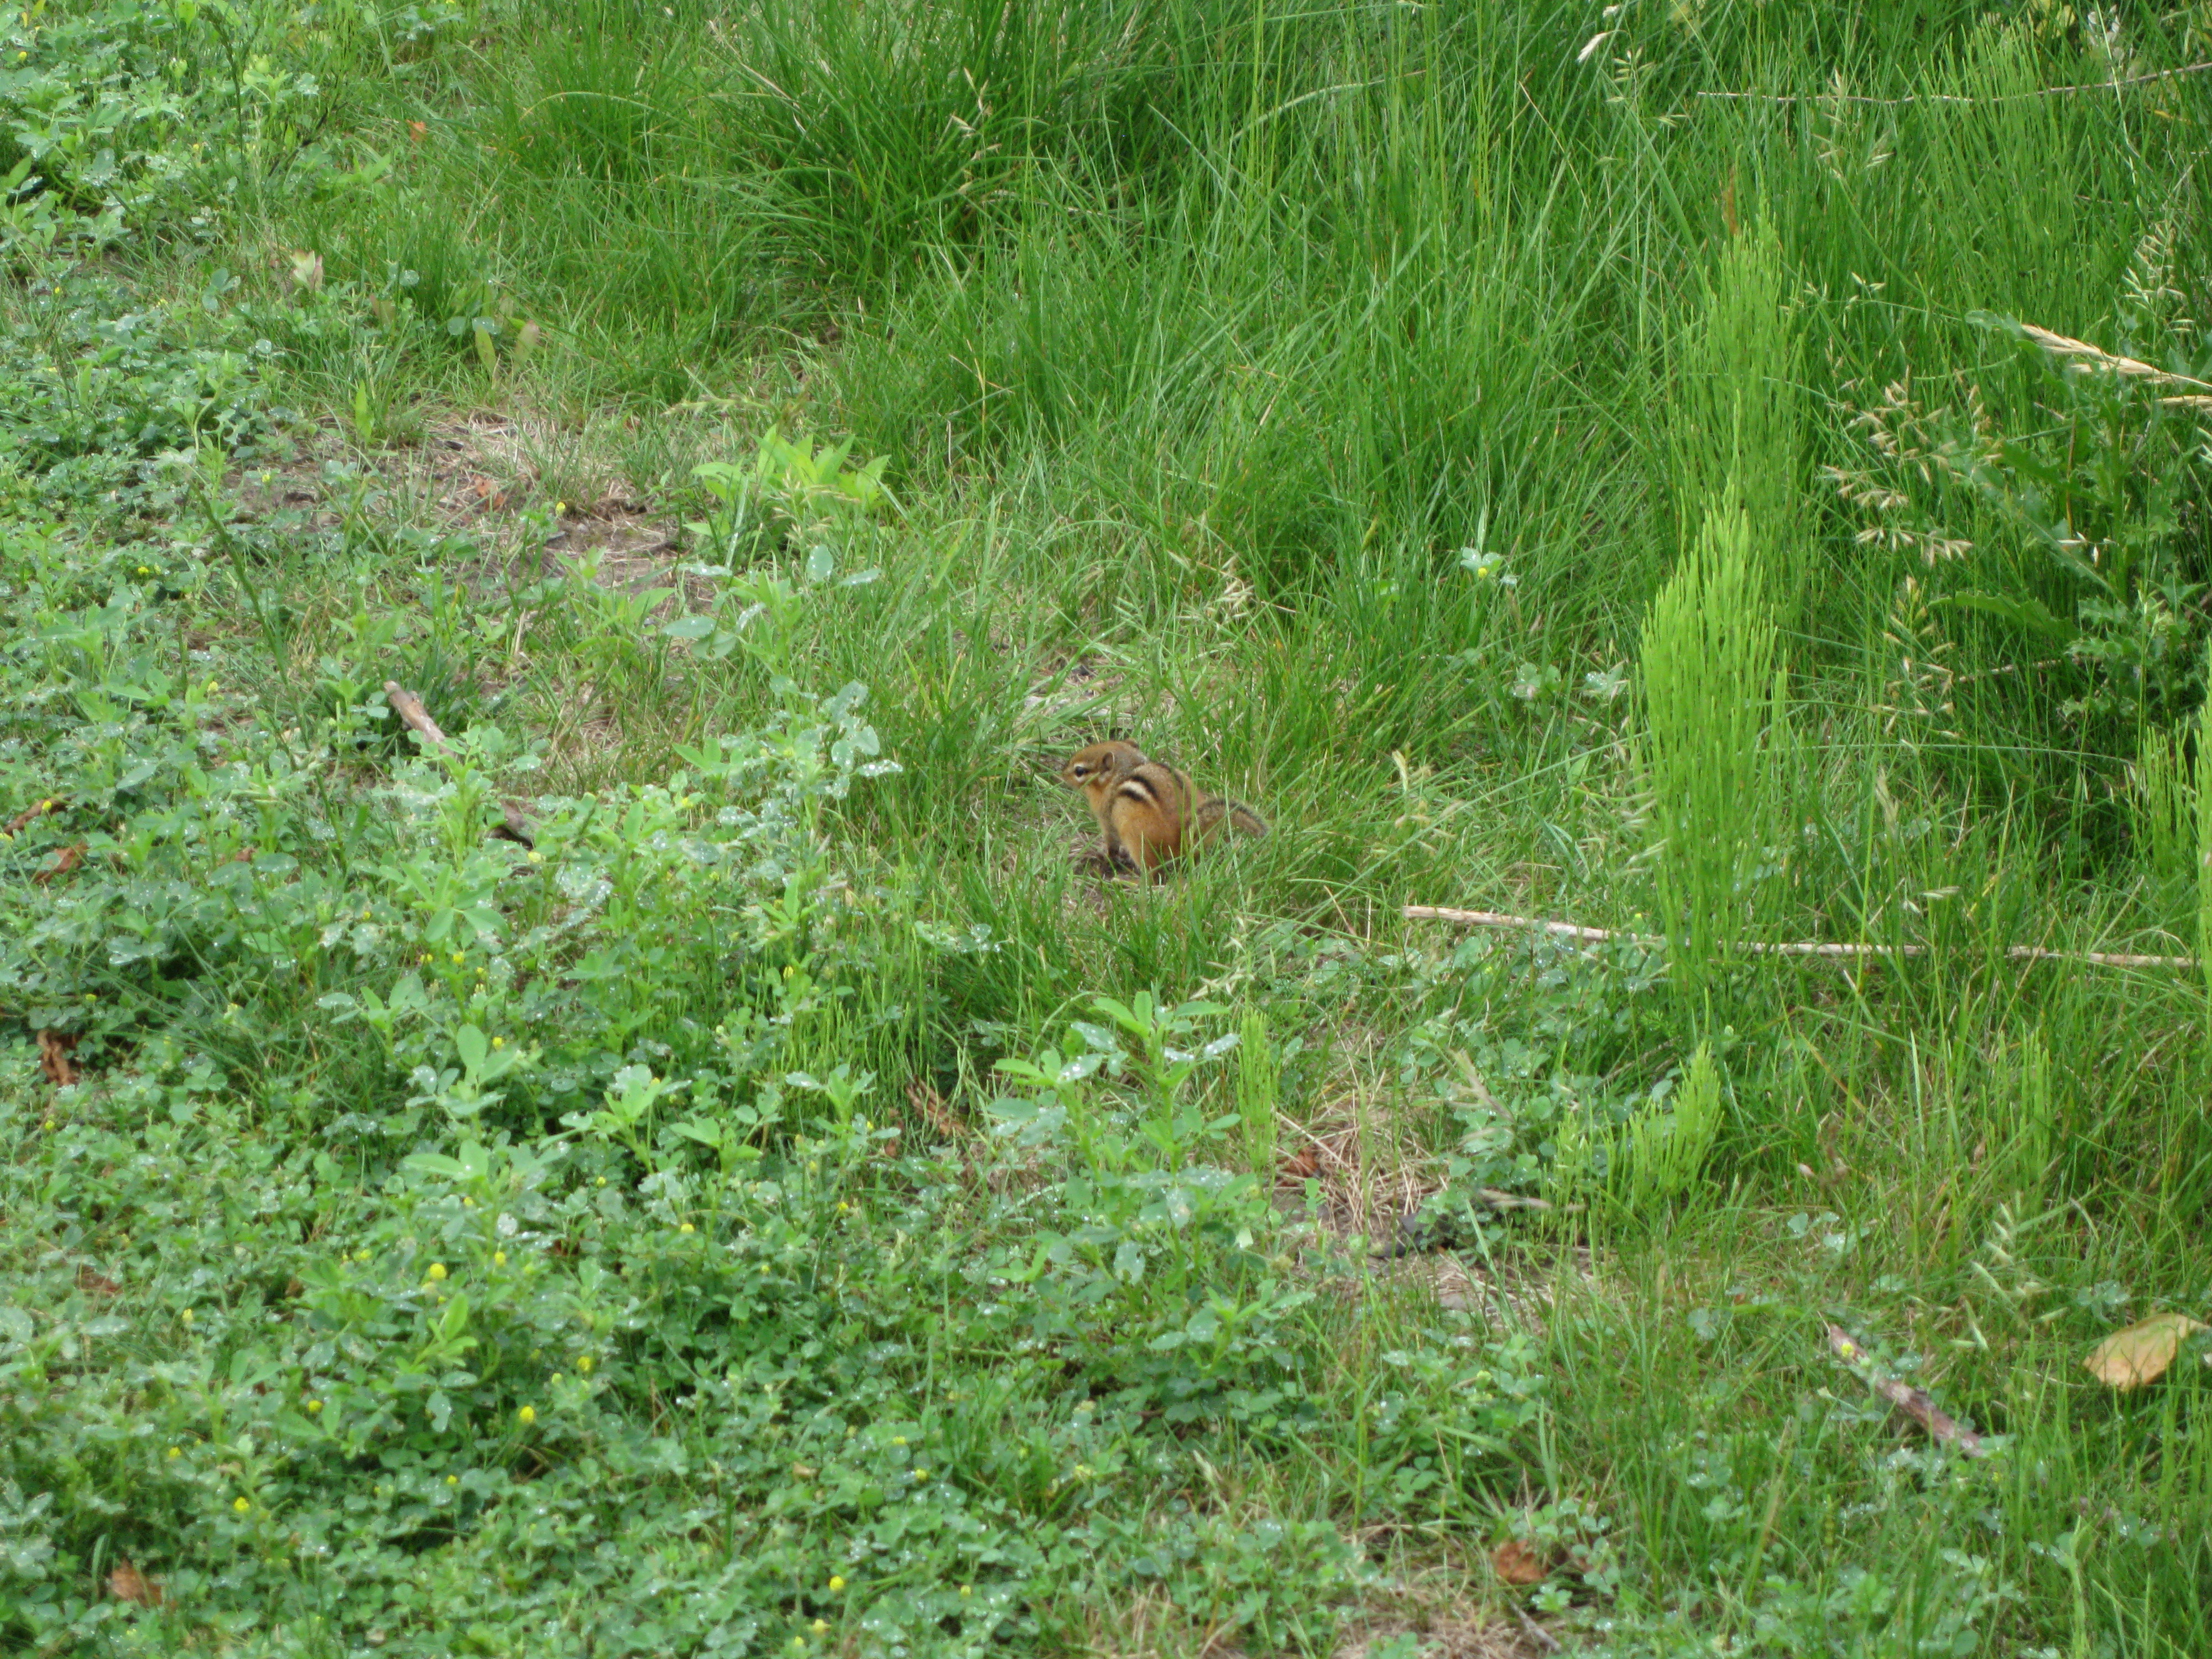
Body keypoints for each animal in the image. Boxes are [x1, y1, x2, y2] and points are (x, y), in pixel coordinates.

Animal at [1059, 740, 1267, 874]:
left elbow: (1112, 842)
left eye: (1079, 771)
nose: (1062, 773)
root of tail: (1184, 834)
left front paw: (1104, 855)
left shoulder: (1107, 816)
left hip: (1137, 838)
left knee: (1152, 874)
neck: (1124, 772)